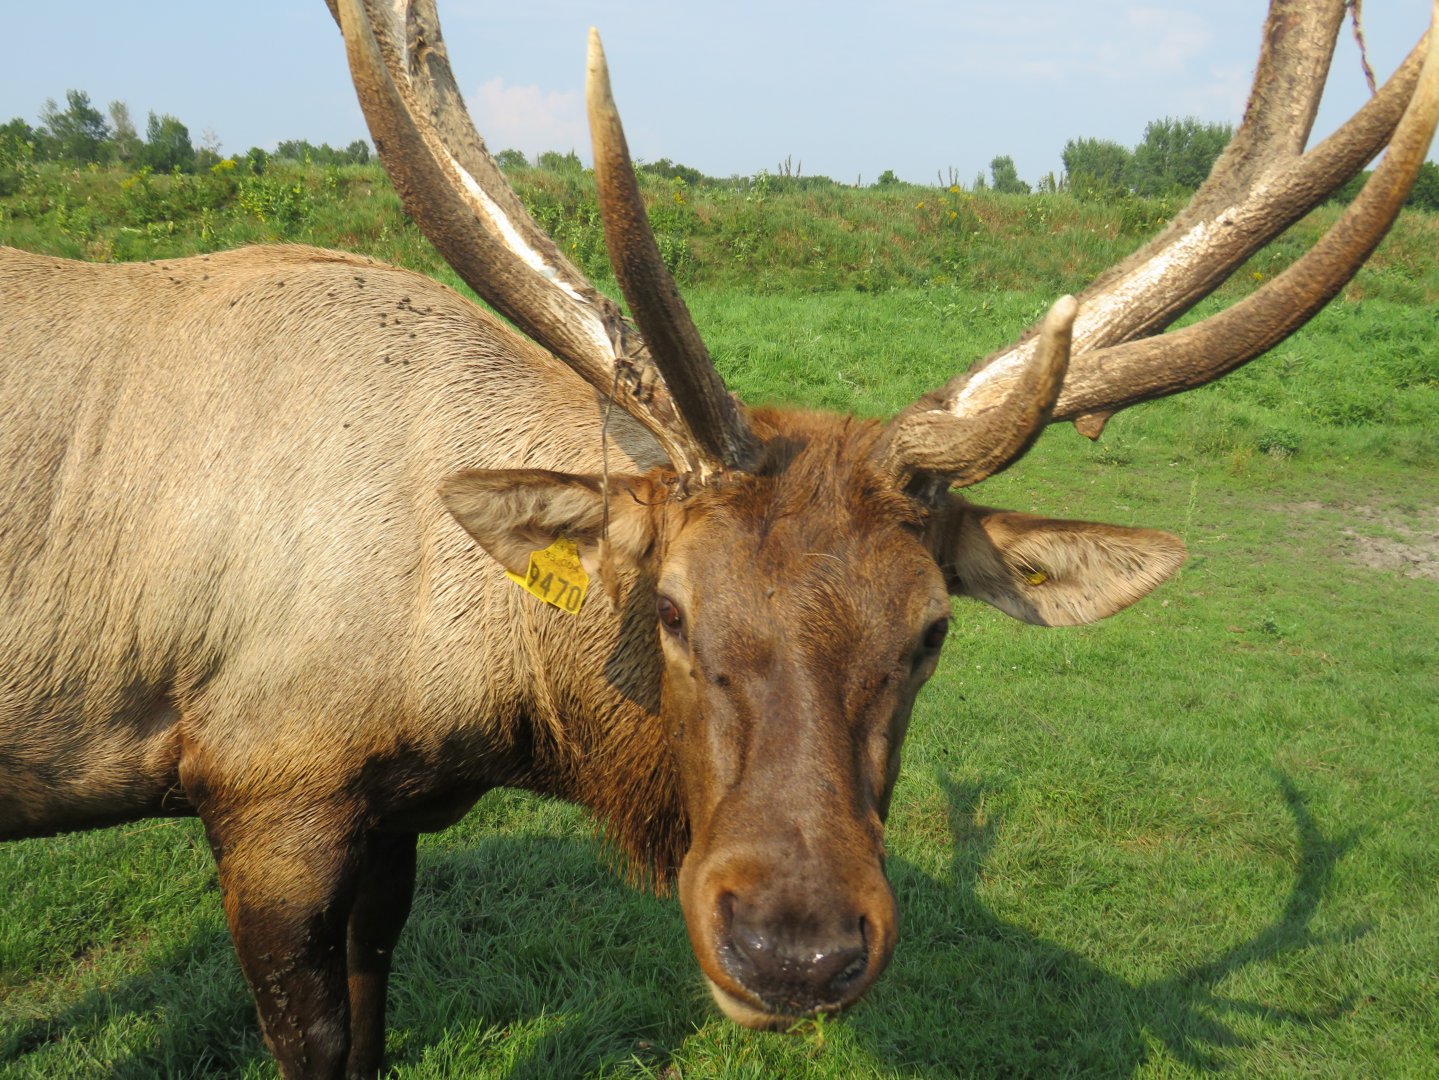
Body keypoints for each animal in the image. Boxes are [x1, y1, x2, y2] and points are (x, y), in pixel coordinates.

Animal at [1, 0, 1434, 1076]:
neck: (484, 692)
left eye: (931, 630)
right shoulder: (267, 786)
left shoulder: (386, 809)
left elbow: (372, 1029)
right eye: (671, 607)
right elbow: (315, 1042)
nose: (794, 949)